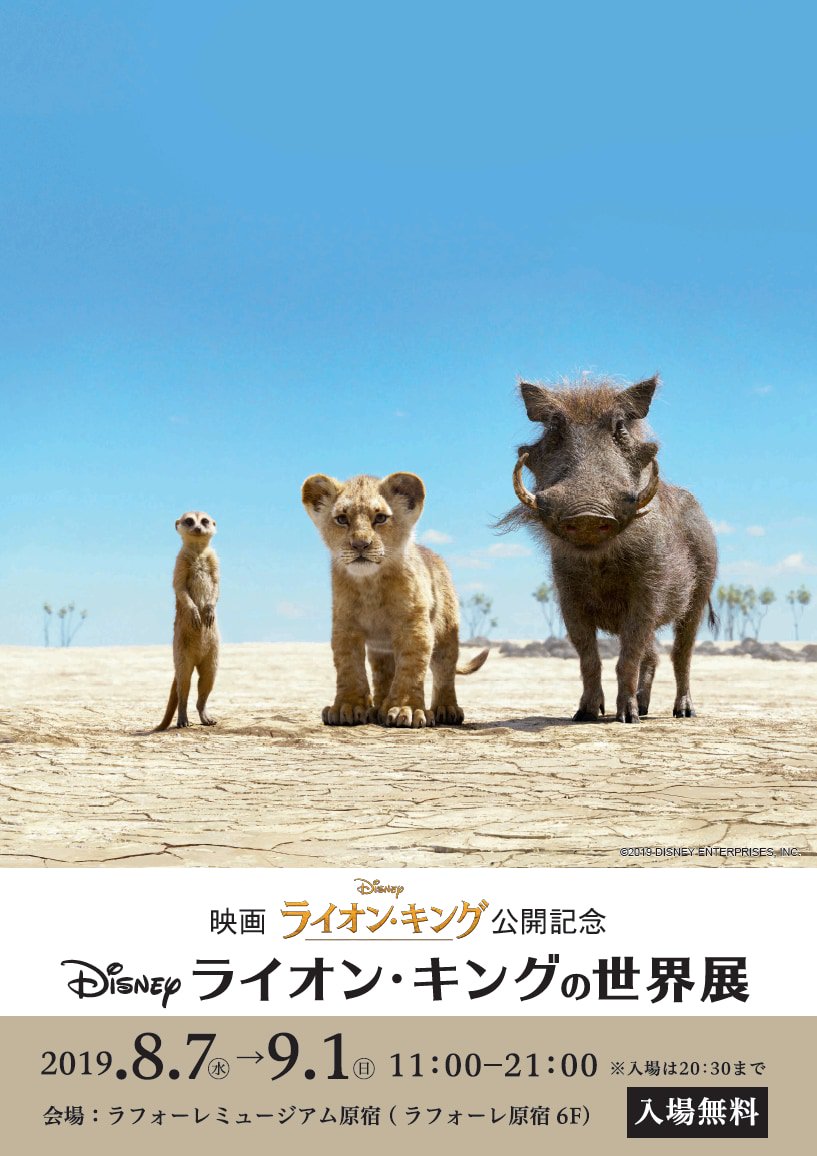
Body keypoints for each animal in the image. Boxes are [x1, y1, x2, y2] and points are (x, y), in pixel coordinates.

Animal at [302, 471, 488, 728]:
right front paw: (347, 707)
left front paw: (405, 709)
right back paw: (378, 708)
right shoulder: (345, 627)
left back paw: (446, 709)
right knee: (383, 673)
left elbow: (411, 668)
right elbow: (349, 666)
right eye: (341, 519)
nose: (360, 544)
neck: (370, 584)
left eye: (380, 518)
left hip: (446, 634)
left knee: (444, 671)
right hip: (381, 649)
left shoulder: (414, 625)